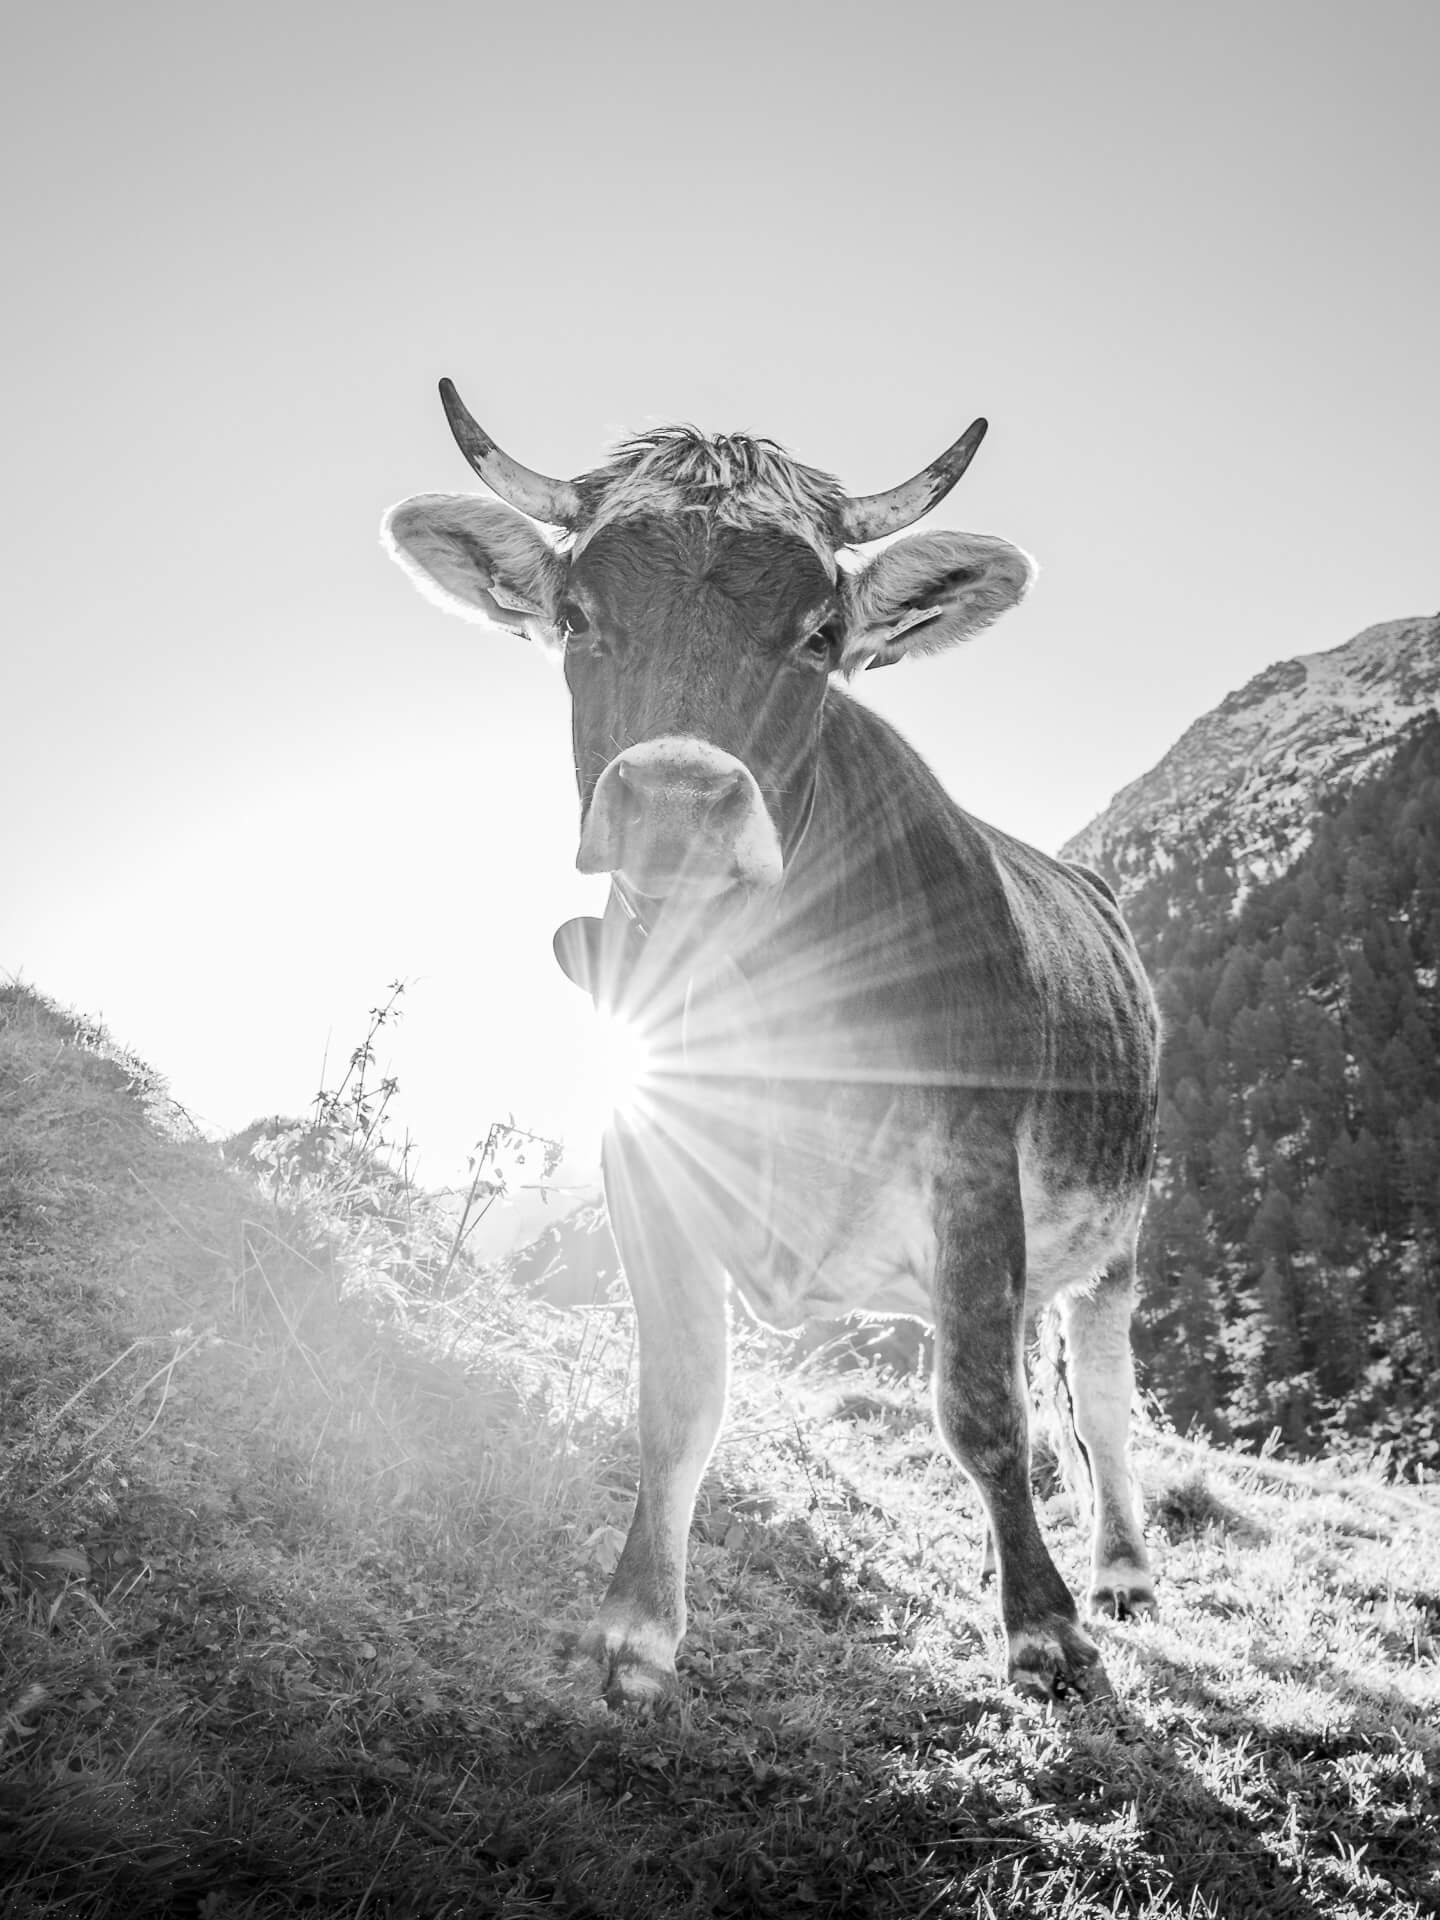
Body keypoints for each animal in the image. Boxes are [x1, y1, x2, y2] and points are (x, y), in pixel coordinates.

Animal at [383, 381, 1160, 1706]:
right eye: (578, 617)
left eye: (818, 634)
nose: (678, 802)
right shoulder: (641, 1143)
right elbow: (681, 1392)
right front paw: (638, 1627)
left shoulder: (973, 1157)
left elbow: (982, 1409)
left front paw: (1047, 1628)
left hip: (1118, 1233)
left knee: (1095, 1402)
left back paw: (1118, 1572)